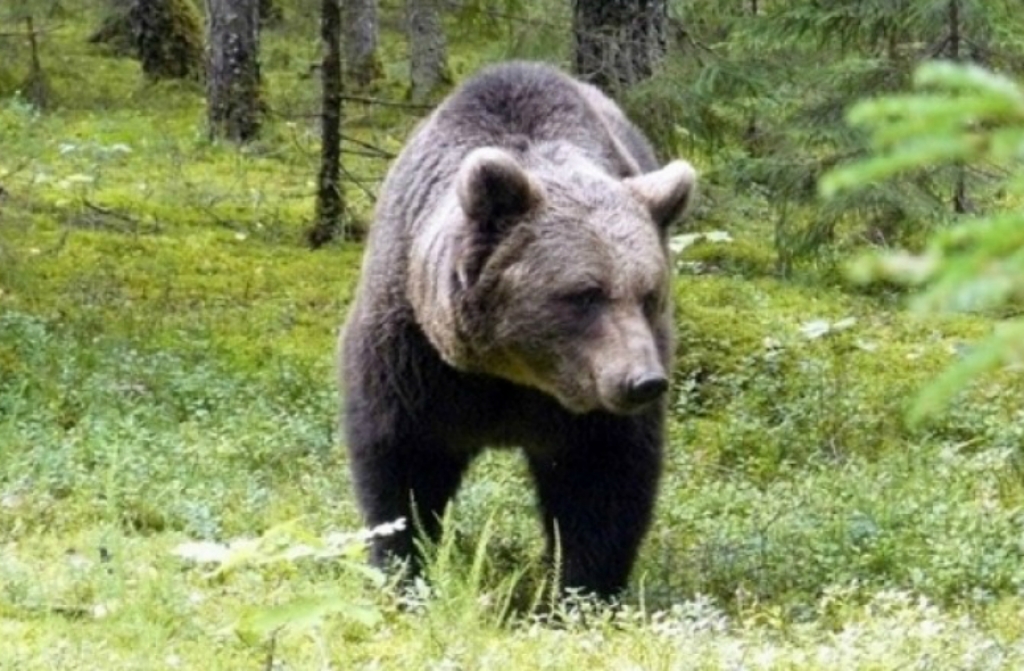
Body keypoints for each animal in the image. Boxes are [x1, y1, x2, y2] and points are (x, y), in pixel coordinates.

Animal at [342, 61, 696, 598]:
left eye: (649, 293)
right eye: (585, 293)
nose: (643, 381)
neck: (513, 375)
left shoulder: (590, 407)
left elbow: (602, 482)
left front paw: (580, 589)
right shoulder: (414, 359)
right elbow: (402, 465)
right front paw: (405, 570)